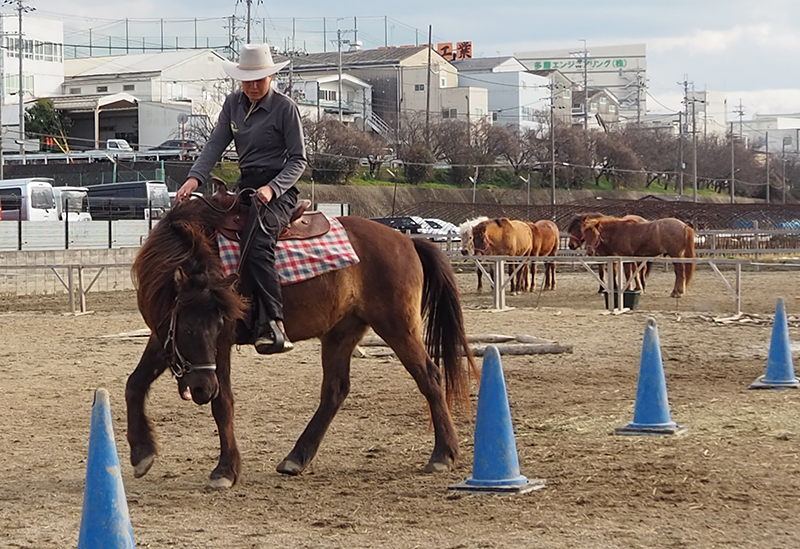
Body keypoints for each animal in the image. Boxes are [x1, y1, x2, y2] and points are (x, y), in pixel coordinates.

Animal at [125, 198, 476, 488]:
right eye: (186, 329)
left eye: (218, 325)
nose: (201, 389)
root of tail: (406, 240)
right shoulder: (162, 334)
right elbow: (135, 383)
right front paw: (142, 453)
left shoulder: (221, 344)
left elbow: (222, 403)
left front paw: (225, 471)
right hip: (341, 332)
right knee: (334, 391)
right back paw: (296, 458)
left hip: (397, 326)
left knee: (429, 377)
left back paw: (442, 454)